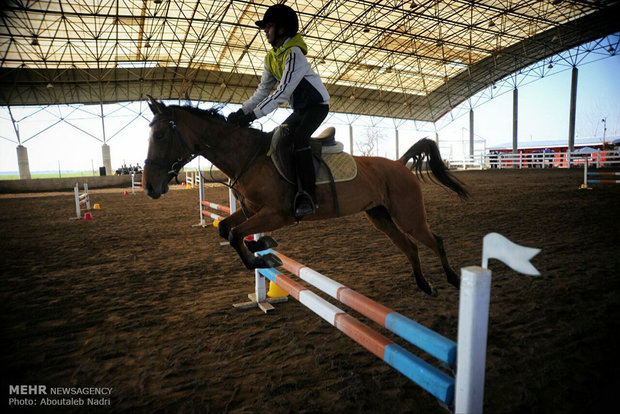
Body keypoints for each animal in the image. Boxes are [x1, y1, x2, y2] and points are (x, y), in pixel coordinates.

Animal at [143, 96, 468, 298]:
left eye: (159, 136)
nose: (149, 187)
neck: (248, 157)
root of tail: (400, 164)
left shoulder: (277, 214)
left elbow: (235, 235)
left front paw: (264, 257)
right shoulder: (253, 211)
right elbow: (226, 228)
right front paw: (264, 246)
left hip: (408, 214)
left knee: (434, 241)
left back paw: (453, 279)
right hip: (380, 216)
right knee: (409, 247)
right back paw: (425, 286)